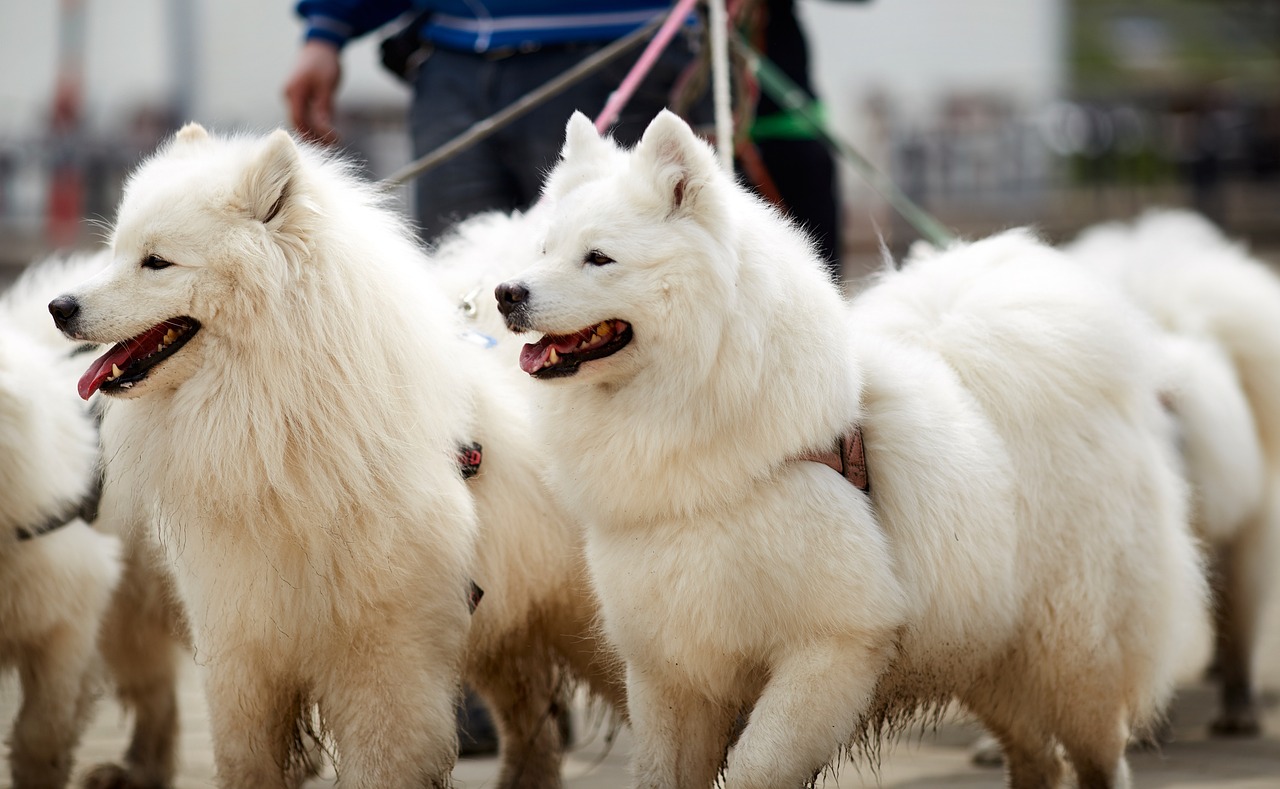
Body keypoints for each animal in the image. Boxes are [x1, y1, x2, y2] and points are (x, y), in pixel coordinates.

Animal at [47, 126, 481, 783]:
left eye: (156, 262)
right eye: (115, 252)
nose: (59, 307)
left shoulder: (387, 660)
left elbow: (380, 763)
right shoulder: (239, 642)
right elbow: (244, 758)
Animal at [494, 110, 1203, 789]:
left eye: (598, 258)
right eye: (544, 249)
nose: (506, 293)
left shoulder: (833, 642)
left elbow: (758, 767)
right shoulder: (670, 665)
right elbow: (661, 773)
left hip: (1072, 656)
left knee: (1098, 757)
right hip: (985, 655)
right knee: (1038, 759)